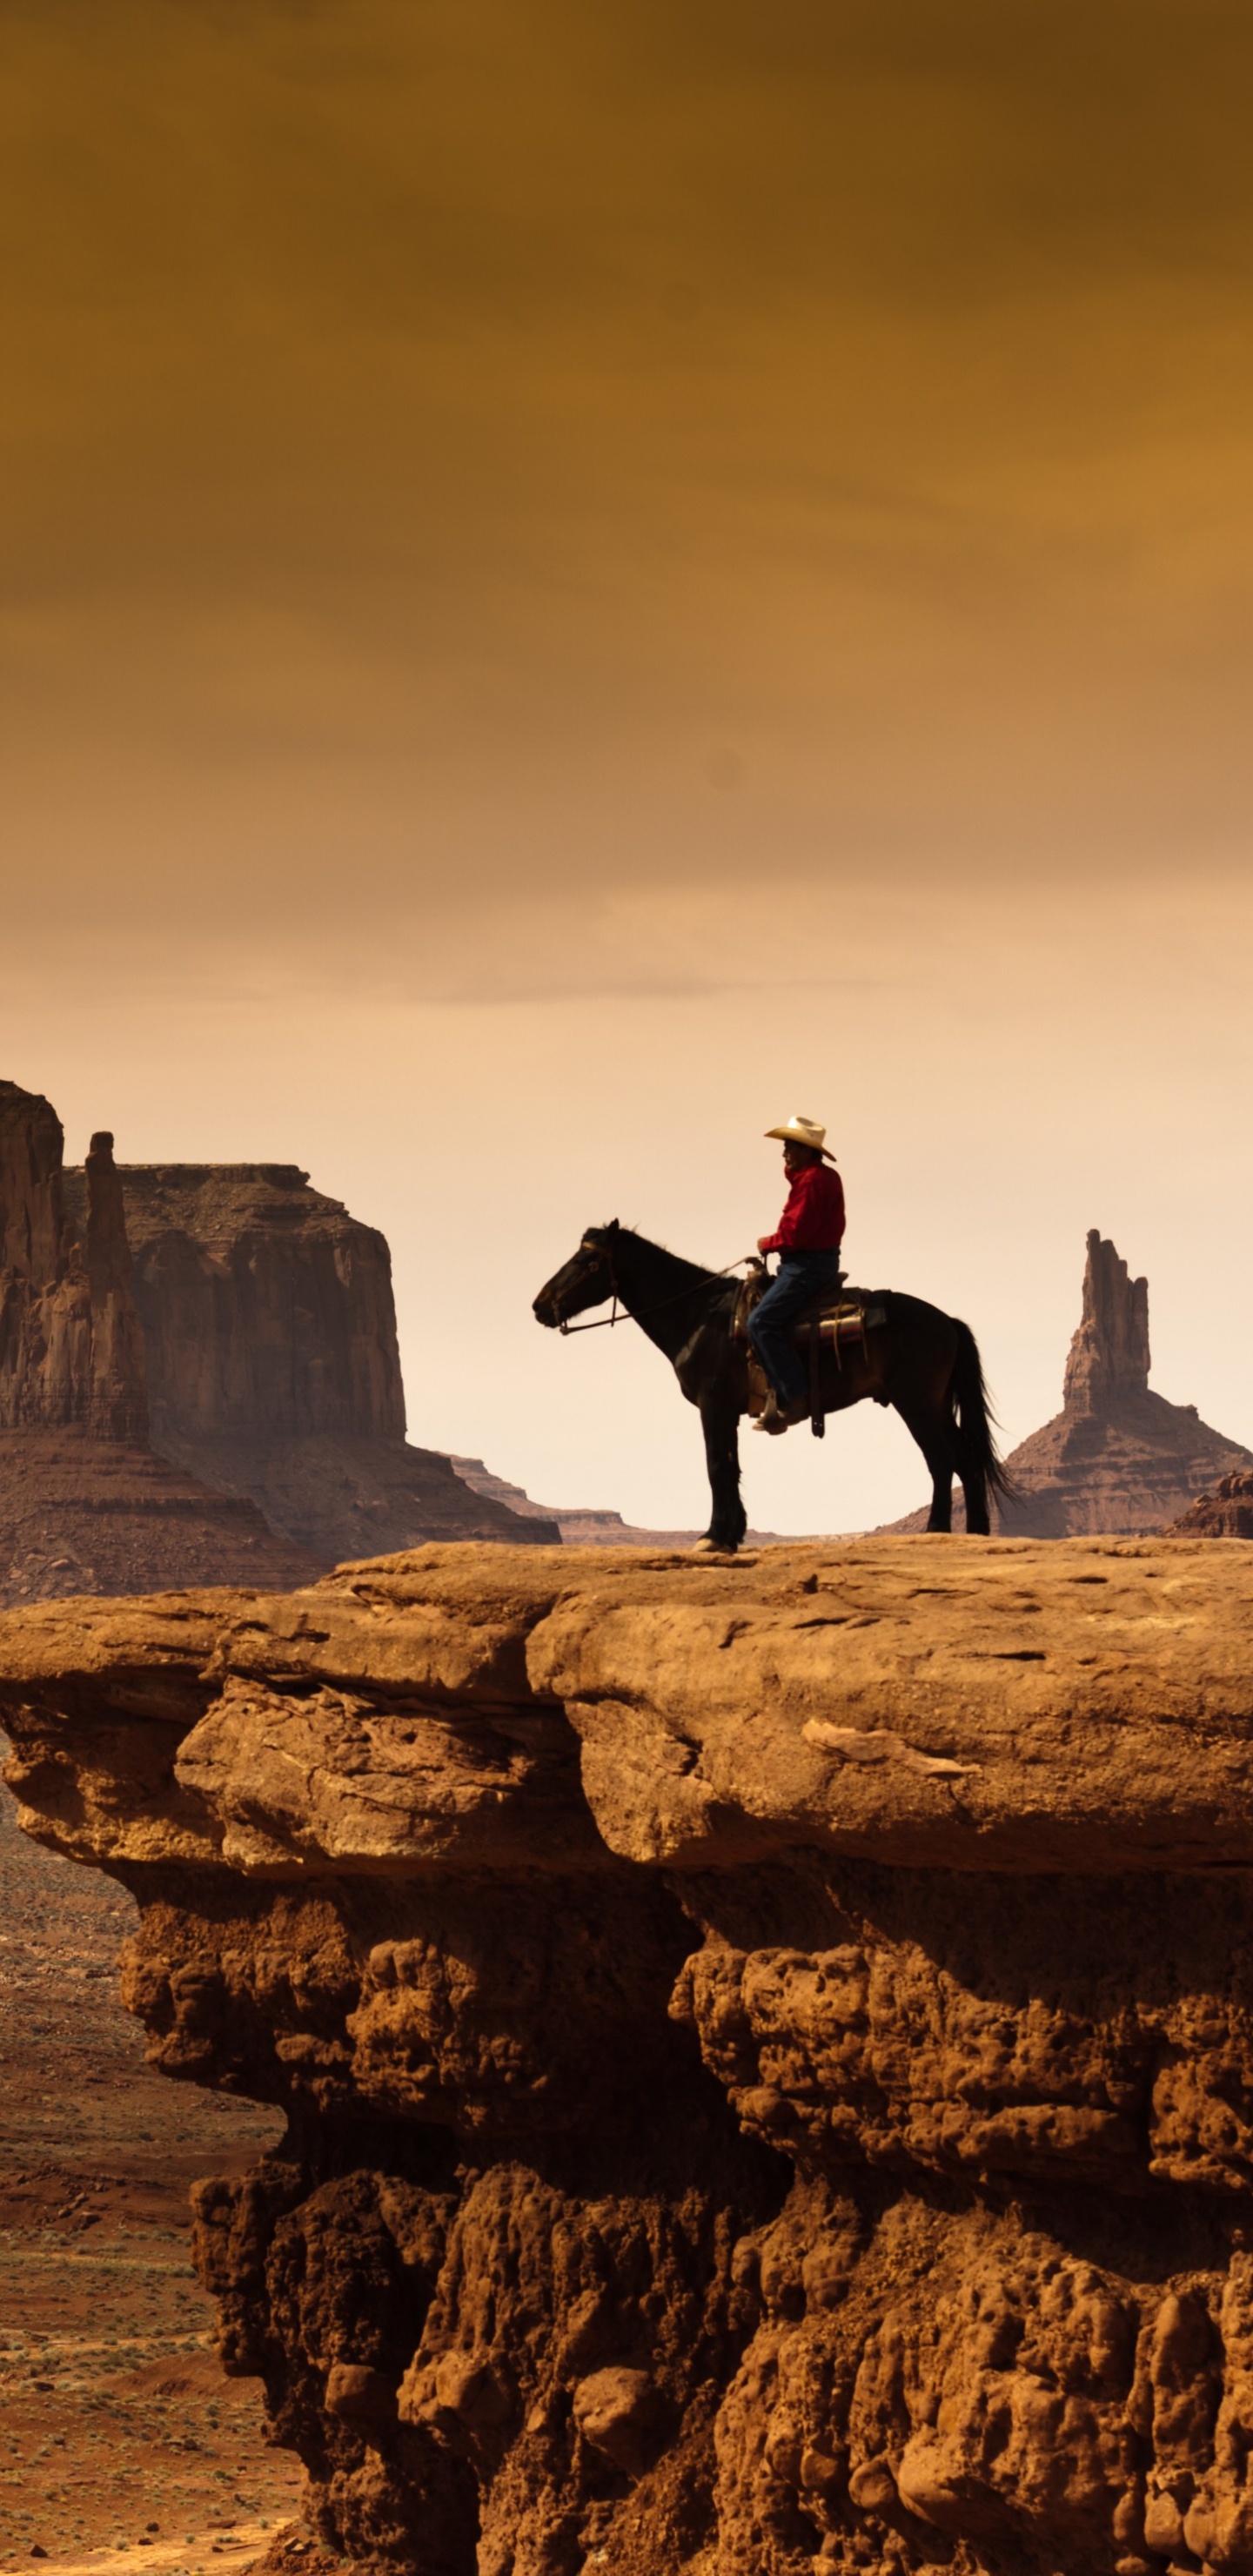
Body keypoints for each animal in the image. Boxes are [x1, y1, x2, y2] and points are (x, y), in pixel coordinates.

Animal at [533, 1221, 1010, 1555]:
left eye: (586, 1262)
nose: (540, 1306)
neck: (700, 1318)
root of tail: (947, 1321)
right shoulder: (727, 1411)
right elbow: (731, 1467)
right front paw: (731, 1534)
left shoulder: (713, 1405)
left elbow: (716, 1467)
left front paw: (713, 1537)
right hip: (937, 1404)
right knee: (968, 1460)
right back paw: (977, 1534)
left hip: (917, 1404)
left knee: (942, 1459)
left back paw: (937, 1530)